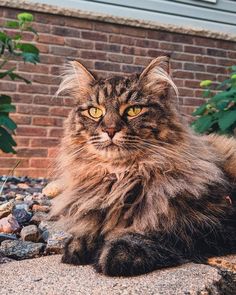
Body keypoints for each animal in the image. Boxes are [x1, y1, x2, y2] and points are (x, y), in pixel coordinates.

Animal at [50, 55, 236, 278]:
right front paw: (80, 244)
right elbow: (89, 229)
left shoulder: (214, 220)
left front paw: (120, 252)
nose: (110, 130)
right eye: (95, 111)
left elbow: (163, 230)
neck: (121, 177)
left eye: (133, 110)